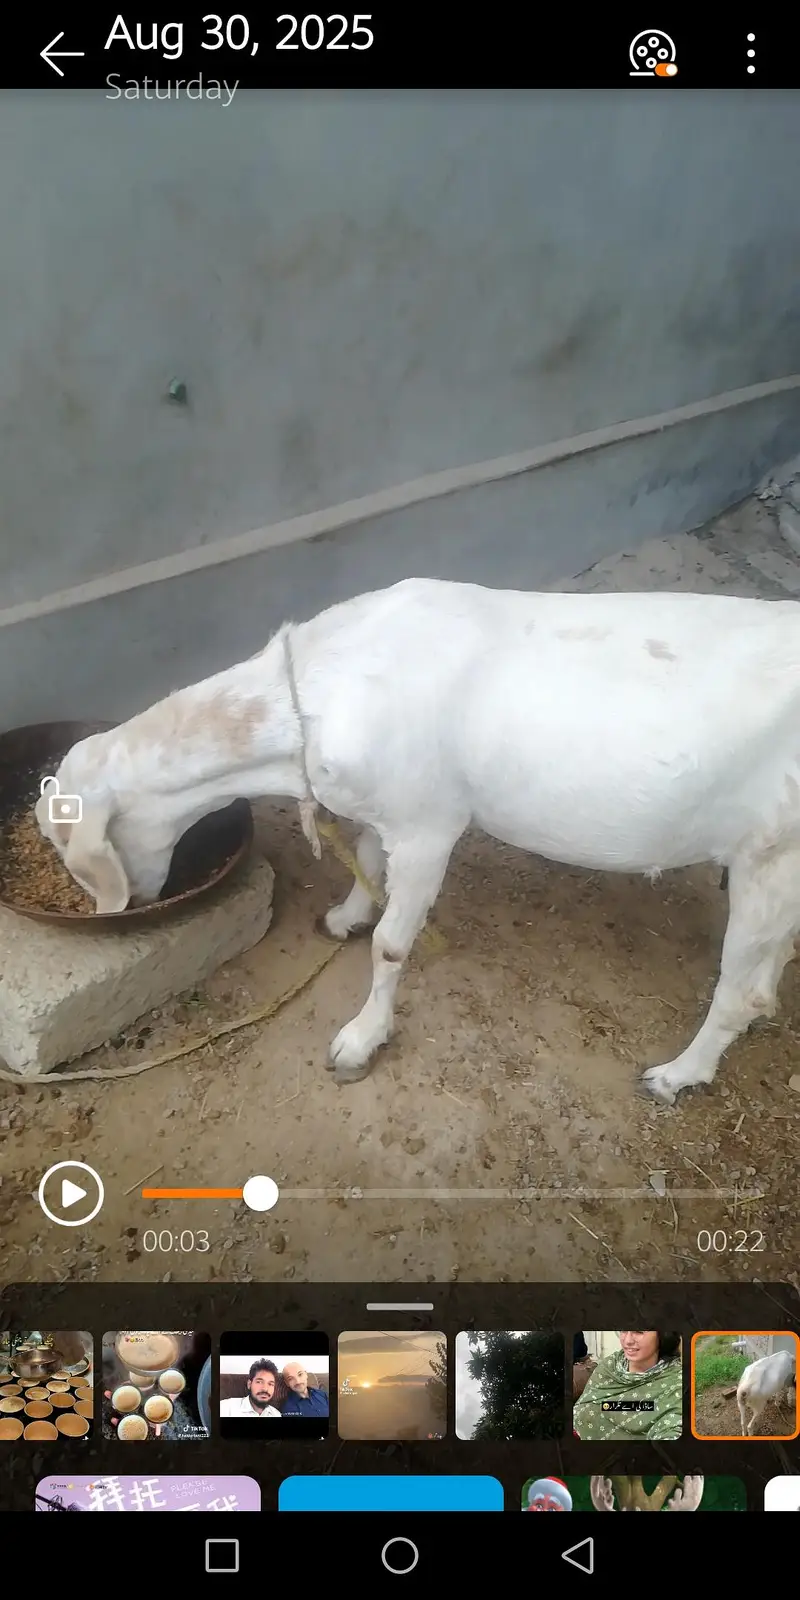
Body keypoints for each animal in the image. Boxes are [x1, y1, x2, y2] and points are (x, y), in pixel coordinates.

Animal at [34, 577, 800, 1102]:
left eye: (71, 858)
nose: (117, 907)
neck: (317, 692)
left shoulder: (432, 827)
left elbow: (393, 945)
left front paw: (360, 1039)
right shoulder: (390, 811)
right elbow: (368, 862)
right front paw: (344, 916)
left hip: (771, 853)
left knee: (739, 990)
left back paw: (677, 1075)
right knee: (766, 979)